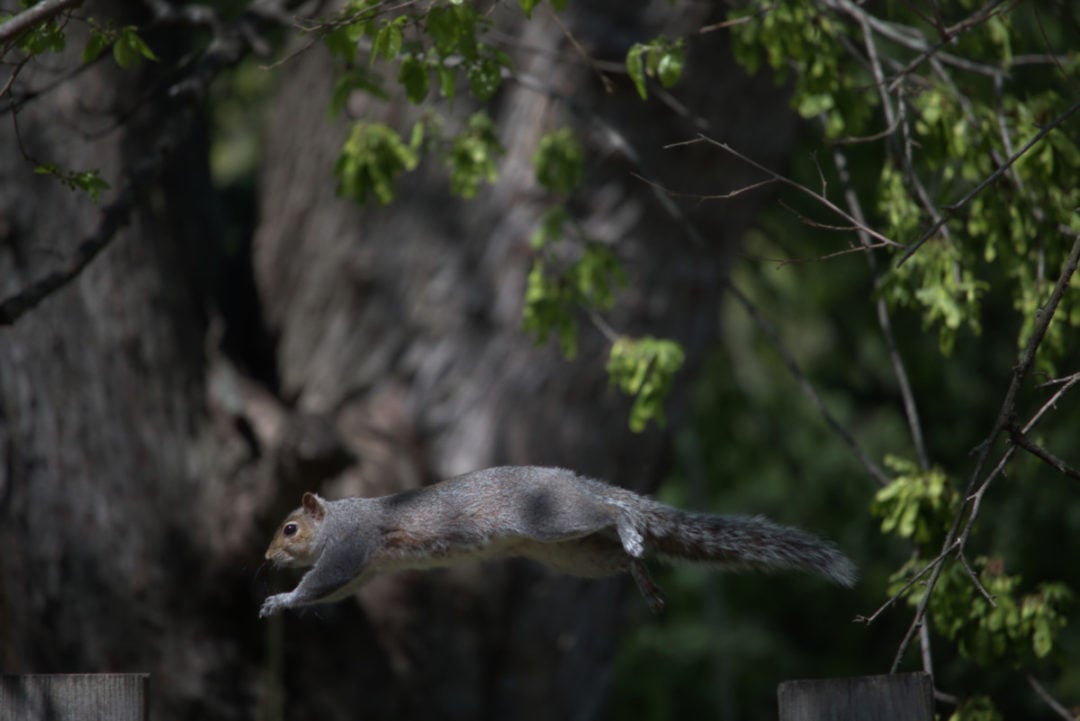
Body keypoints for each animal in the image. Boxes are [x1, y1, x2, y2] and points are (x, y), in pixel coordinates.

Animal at [259, 465, 856, 617]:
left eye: (290, 529)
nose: (265, 559)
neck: (336, 519)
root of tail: (572, 480)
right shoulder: (369, 567)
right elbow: (337, 590)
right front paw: (282, 600)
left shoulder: (350, 546)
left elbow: (322, 580)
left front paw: (281, 598)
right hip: (572, 554)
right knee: (615, 558)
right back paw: (645, 582)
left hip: (554, 521)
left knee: (611, 513)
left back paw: (628, 522)